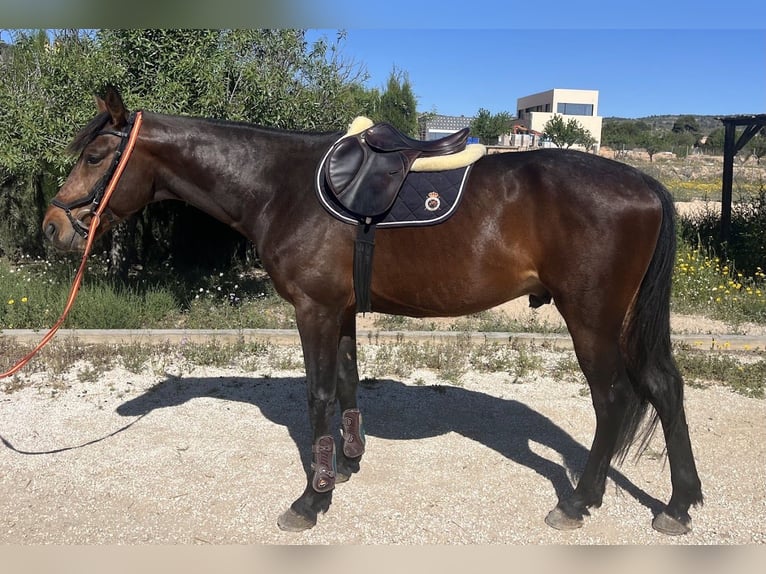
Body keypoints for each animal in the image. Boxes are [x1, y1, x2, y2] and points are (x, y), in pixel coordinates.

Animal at [42, 87, 703, 536]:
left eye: (97, 155)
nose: (52, 227)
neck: (281, 185)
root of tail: (646, 184)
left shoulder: (313, 310)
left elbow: (317, 394)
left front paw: (312, 499)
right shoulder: (340, 311)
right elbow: (347, 381)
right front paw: (344, 465)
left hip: (591, 319)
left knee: (615, 400)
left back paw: (579, 500)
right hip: (622, 321)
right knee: (665, 388)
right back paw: (677, 504)